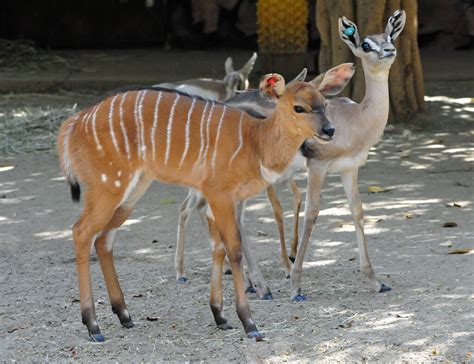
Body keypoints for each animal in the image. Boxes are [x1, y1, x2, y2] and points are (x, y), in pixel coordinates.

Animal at [57, 73, 336, 342]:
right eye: (299, 107)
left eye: (324, 103)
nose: (329, 129)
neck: (256, 143)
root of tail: (73, 124)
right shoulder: (220, 194)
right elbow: (234, 250)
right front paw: (249, 324)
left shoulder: (217, 199)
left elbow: (218, 248)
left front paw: (221, 317)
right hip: (108, 184)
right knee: (81, 231)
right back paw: (93, 326)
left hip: (132, 190)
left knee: (103, 239)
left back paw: (124, 315)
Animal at [288, 9, 408, 302]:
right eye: (365, 44)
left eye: (389, 37)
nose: (389, 50)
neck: (353, 120)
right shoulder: (317, 167)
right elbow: (312, 213)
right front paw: (296, 288)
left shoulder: (349, 169)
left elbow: (357, 210)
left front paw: (376, 282)